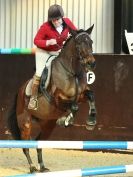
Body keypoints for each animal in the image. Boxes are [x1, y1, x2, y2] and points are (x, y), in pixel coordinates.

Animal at [7, 24, 96, 173]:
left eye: (91, 42)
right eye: (78, 44)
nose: (91, 63)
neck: (73, 73)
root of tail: (19, 91)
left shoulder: (81, 96)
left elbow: (91, 96)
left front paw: (91, 121)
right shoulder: (57, 99)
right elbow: (74, 106)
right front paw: (65, 120)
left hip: (47, 125)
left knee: (39, 142)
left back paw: (42, 167)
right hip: (25, 122)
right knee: (25, 146)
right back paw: (32, 167)